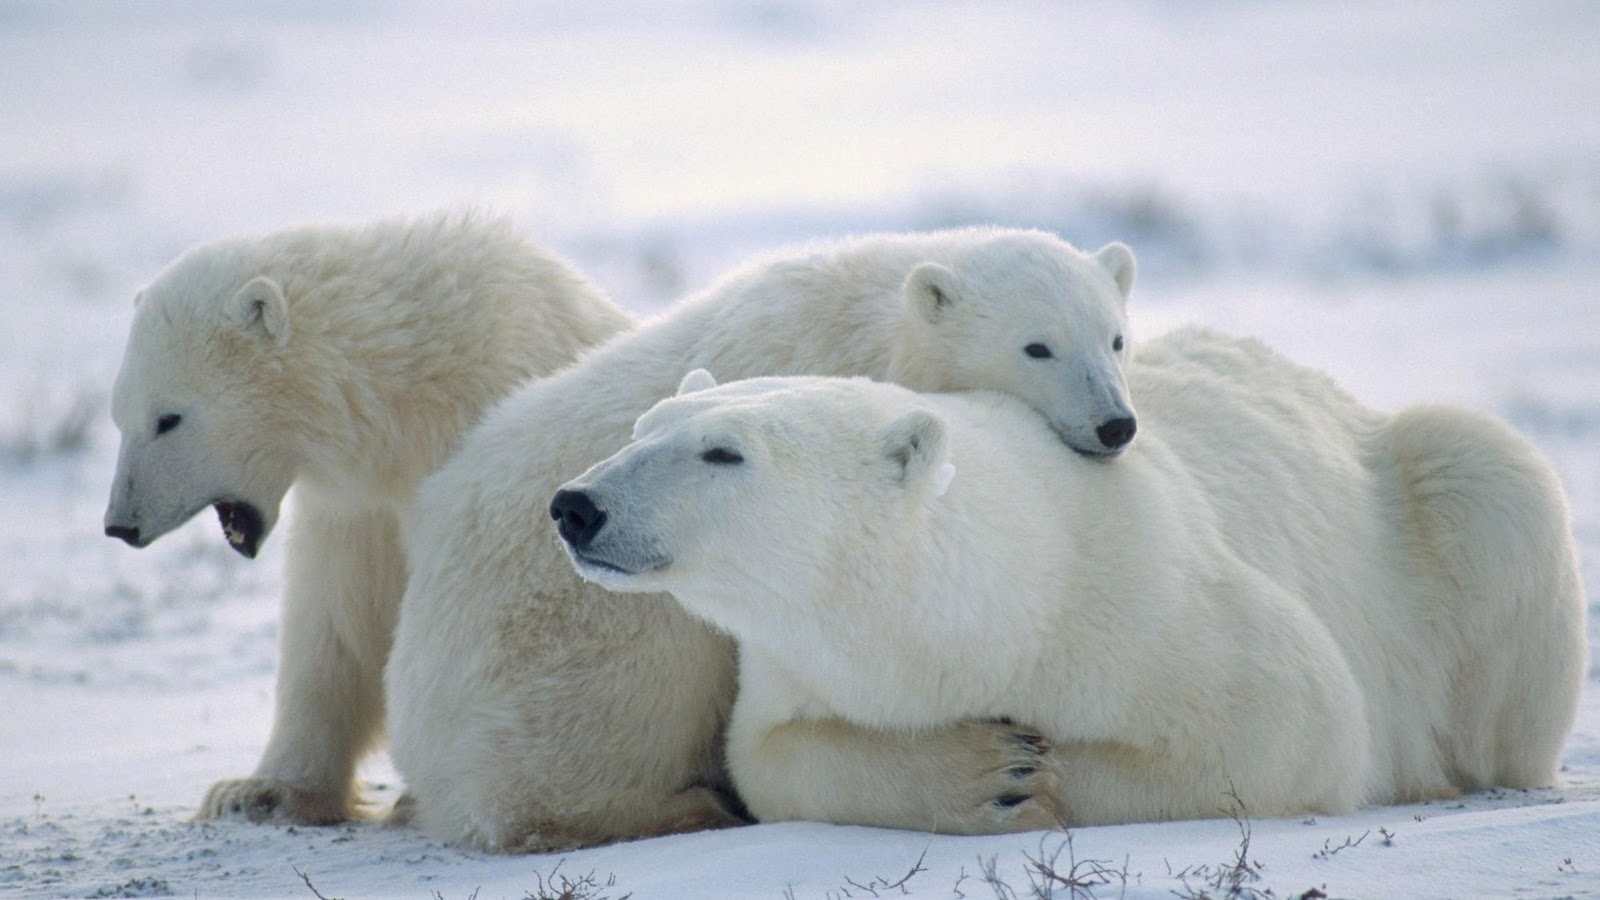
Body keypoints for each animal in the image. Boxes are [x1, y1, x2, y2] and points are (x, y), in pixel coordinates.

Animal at [102, 212, 633, 826]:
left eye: (169, 418)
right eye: (118, 416)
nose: (120, 524)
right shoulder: (356, 509)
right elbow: (335, 623)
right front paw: (256, 791)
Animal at [383, 227, 1137, 851]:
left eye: (1115, 338)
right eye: (1037, 345)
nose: (1116, 424)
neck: (873, 322)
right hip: (559, 651)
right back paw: (684, 808)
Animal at [552, 332, 1587, 832]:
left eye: (723, 452)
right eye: (645, 426)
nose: (576, 505)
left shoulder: (1148, 602)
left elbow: (1294, 724)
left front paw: (1038, 773)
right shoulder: (796, 666)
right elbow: (773, 758)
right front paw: (990, 773)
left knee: (1485, 472)